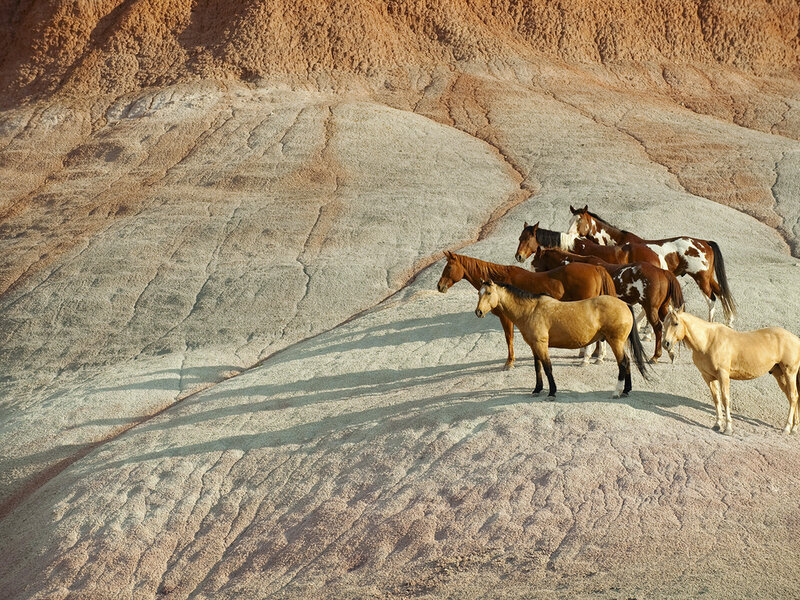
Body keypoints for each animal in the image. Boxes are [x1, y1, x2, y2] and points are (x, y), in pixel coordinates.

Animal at [437, 251, 616, 369]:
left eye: (449, 267)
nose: (439, 286)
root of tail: (596, 268)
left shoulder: (506, 318)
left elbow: (509, 338)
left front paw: (509, 362)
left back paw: (586, 359)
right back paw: (598, 357)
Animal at [475, 281, 649, 398]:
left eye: (488, 293)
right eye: (479, 293)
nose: (478, 312)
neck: (531, 310)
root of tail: (625, 304)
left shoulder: (541, 345)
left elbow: (547, 367)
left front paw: (552, 392)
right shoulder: (534, 346)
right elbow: (537, 367)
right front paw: (537, 389)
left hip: (615, 342)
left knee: (623, 363)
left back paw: (617, 391)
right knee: (627, 361)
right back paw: (626, 390)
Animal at [532, 247, 685, 363]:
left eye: (534, 264)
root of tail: (663, 272)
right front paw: (594, 353)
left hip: (651, 308)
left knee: (658, 328)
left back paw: (656, 355)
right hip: (662, 309)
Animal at [567, 205, 736, 325]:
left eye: (579, 221)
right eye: (570, 220)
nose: (569, 235)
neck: (619, 243)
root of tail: (705, 242)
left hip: (701, 278)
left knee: (712, 299)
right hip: (707, 277)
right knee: (721, 292)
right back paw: (729, 320)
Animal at [662, 305, 800, 435]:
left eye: (675, 323)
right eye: (664, 322)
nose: (665, 344)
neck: (708, 341)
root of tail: (796, 339)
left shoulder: (723, 375)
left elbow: (725, 399)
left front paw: (728, 428)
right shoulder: (708, 377)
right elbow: (716, 399)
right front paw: (717, 424)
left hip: (789, 373)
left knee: (793, 397)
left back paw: (787, 428)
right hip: (780, 375)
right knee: (793, 397)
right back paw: (794, 428)